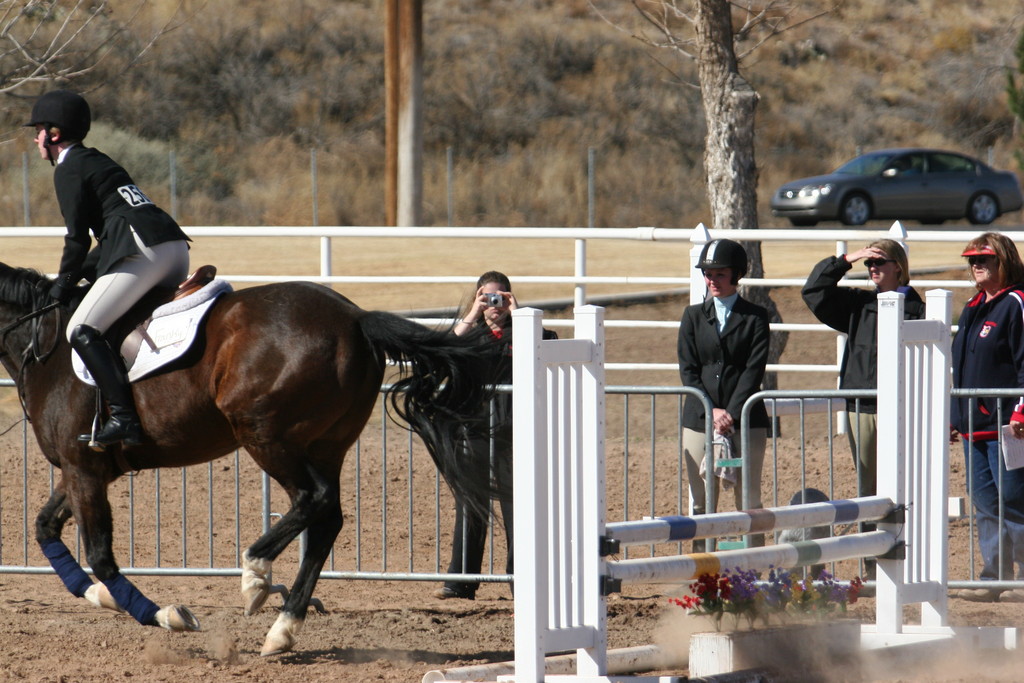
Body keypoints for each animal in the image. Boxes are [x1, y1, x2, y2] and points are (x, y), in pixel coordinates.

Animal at [0, 262, 499, 655]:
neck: (43, 347)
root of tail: (357, 318)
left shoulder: (83, 469)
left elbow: (101, 555)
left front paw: (164, 615)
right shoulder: (84, 470)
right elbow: (45, 529)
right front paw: (99, 596)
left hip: (265, 435)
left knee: (313, 499)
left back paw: (256, 576)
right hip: (325, 444)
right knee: (327, 520)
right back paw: (282, 630)